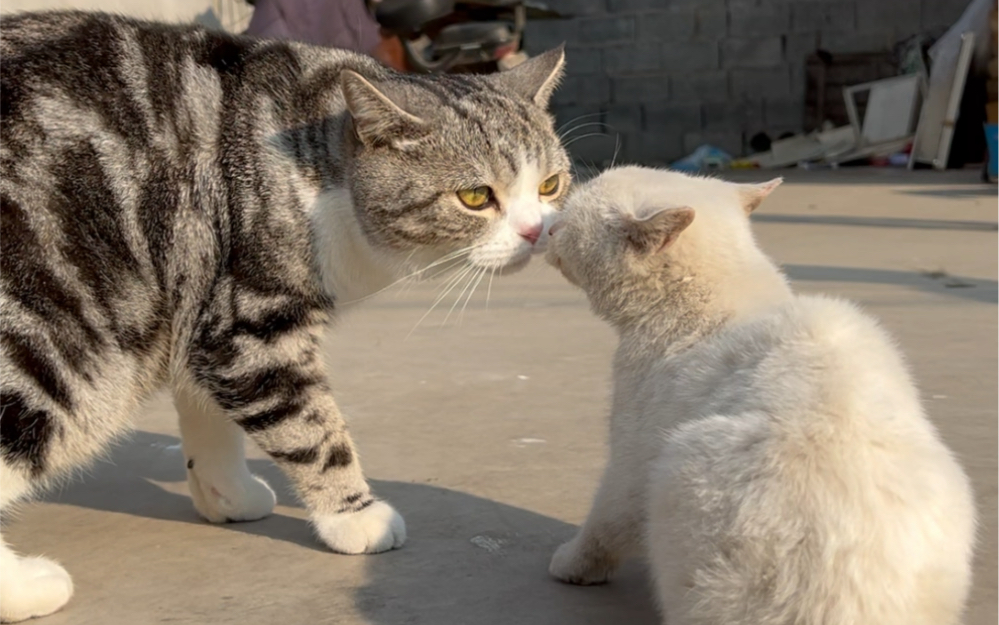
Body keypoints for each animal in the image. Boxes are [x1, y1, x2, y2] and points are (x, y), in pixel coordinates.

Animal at [0, 11, 572, 620]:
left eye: (550, 184)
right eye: (475, 196)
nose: (537, 231)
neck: (315, 169)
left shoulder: (201, 304)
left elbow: (208, 408)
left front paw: (226, 492)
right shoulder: (249, 324)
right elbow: (311, 426)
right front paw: (355, 516)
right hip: (53, 339)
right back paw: (26, 588)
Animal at [548, 167, 976, 624]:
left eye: (566, 223)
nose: (546, 228)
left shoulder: (630, 463)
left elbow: (604, 524)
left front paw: (573, 564)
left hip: (679, 469)